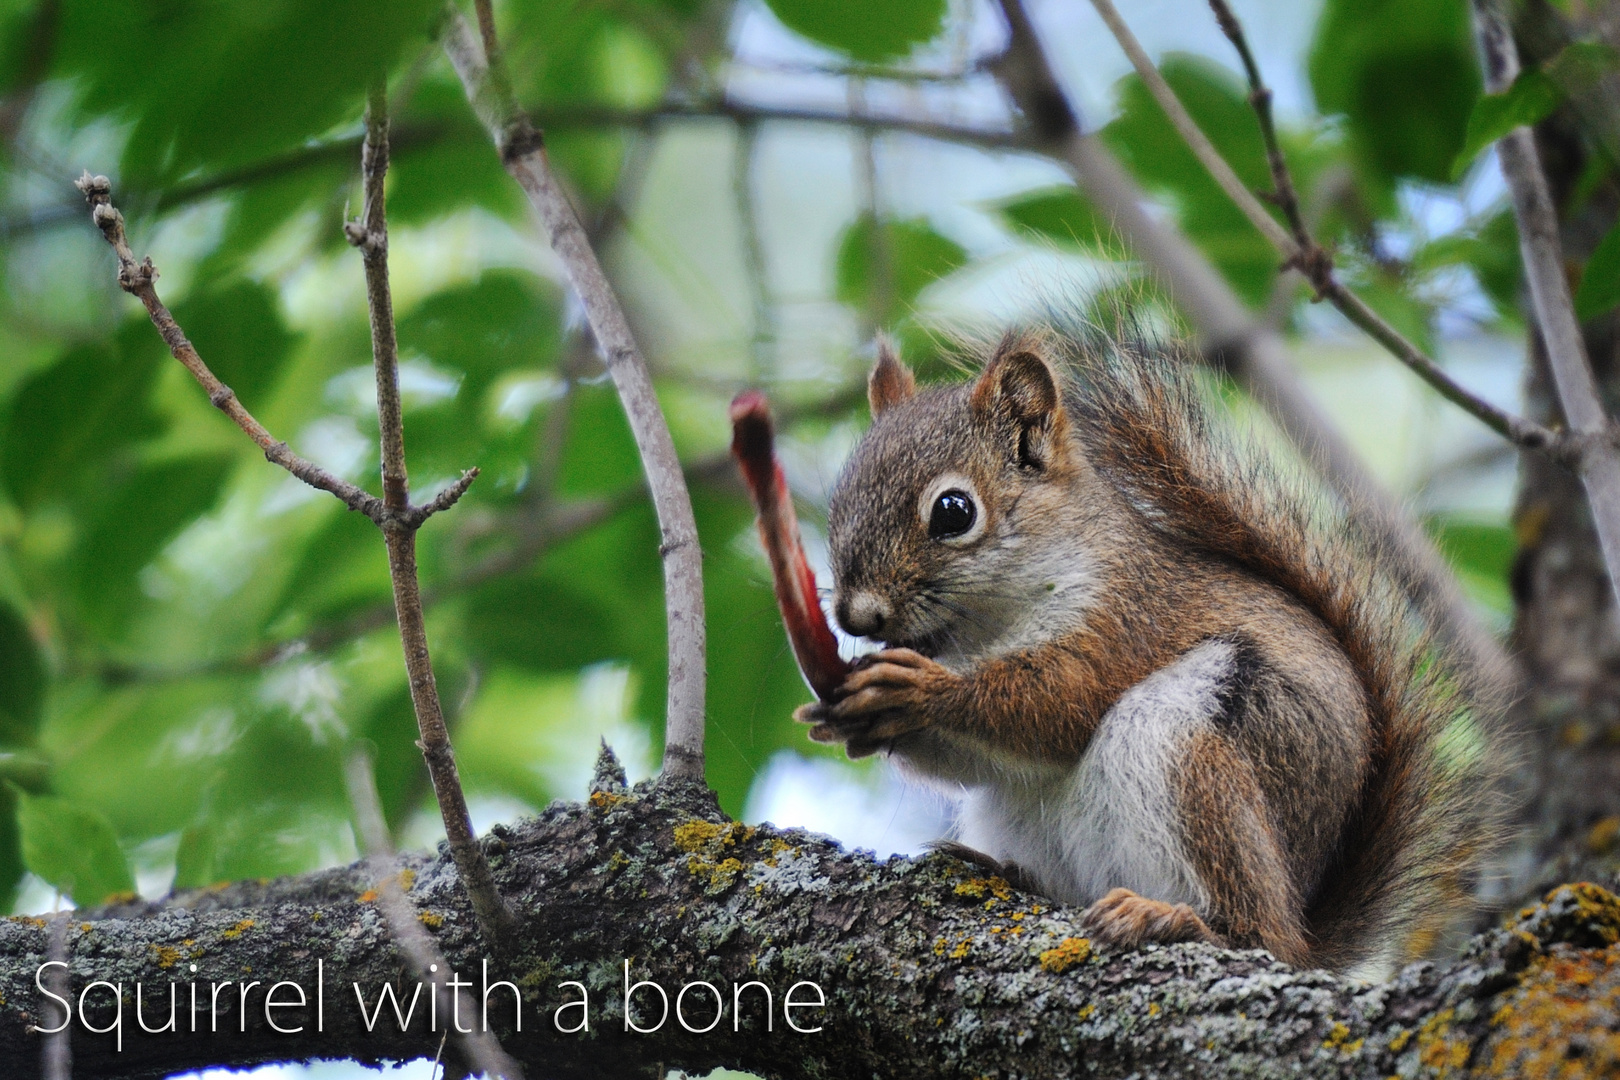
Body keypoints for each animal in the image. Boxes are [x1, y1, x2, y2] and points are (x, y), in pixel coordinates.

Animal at [797, 330, 1503, 971]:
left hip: (1191, 753)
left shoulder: (1124, 620)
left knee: (1260, 933)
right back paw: (1005, 871)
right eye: (841, 498)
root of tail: (1307, 927)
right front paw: (849, 715)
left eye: (953, 511)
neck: (982, 629)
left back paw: (1177, 919)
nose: (857, 615)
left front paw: (920, 690)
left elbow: (1055, 704)